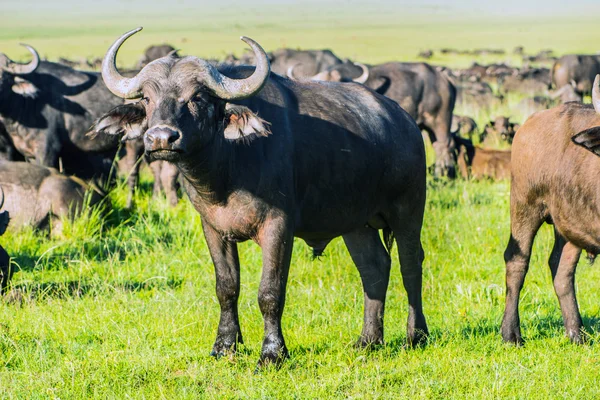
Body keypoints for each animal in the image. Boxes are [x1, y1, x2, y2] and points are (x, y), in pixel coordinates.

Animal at [92, 27, 432, 366]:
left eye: (197, 97)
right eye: (147, 98)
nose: (162, 137)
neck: (226, 172)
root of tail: (404, 121)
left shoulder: (278, 227)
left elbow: (270, 291)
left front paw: (272, 352)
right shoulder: (213, 228)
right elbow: (226, 287)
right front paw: (224, 345)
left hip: (409, 209)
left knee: (410, 265)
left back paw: (416, 335)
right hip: (356, 223)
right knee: (374, 268)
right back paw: (368, 341)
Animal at [500, 76, 600, 344]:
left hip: (569, 224)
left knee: (561, 269)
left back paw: (576, 333)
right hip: (524, 205)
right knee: (516, 261)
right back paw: (511, 333)